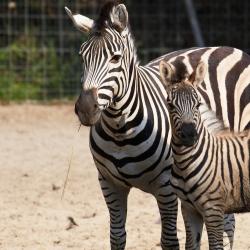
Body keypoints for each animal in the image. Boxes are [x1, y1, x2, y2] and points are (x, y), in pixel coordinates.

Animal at [160, 60, 250, 250]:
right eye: (170, 105)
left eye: (198, 104)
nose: (189, 135)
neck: (185, 164)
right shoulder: (188, 209)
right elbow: (191, 245)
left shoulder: (213, 209)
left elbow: (215, 246)